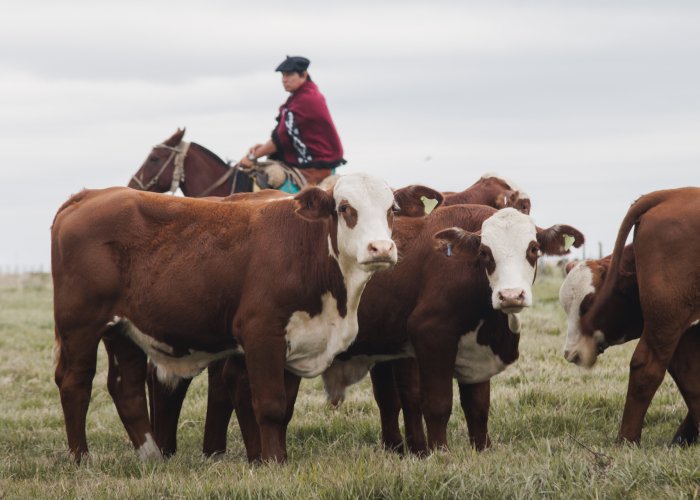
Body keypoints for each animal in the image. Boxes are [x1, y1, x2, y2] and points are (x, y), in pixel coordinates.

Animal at [52, 174, 440, 462]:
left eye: (391, 209)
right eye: (345, 208)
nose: (382, 248)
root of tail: (90, 195)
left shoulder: (298, 338)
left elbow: (285, 408)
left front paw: (274, 457)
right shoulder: (261, 333)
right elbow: (269, 405)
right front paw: (273, 462)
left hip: (122, 329)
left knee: (126, 388)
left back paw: (151, 457)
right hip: (80, 325)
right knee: (75, 383)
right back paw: (81, 458)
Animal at [204, 204, 584, 458]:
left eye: (533, 249)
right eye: (486, 252)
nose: (510, 295)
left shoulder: (478, 350)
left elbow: (477, 406)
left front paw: (482, 450)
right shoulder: (432, 334)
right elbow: (437, 403)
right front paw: (439, 453)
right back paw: (254, 455)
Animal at [556, 186, 700, 444]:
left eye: (587, 305)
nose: (571, 353)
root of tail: (670, 193)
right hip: (668, 320)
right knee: (647, 367)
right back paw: (627, 439)